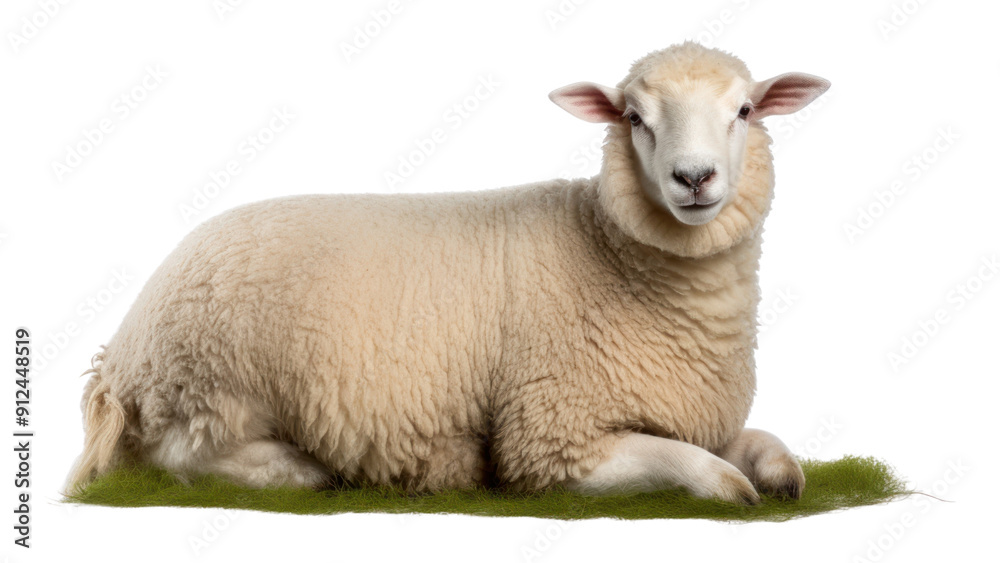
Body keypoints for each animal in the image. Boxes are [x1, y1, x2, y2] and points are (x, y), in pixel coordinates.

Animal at [68, 42, 830, 504]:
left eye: (744, 110)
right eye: (634, 117)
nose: (693, 178)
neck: (610, 253)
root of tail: (121, 354)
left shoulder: (685, 414)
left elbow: (766, 446)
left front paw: (782, 475)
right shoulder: (550, 438)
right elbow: (694, 468)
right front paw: (736, 488)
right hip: (213, 385)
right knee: (176, 460)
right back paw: (300, 470)